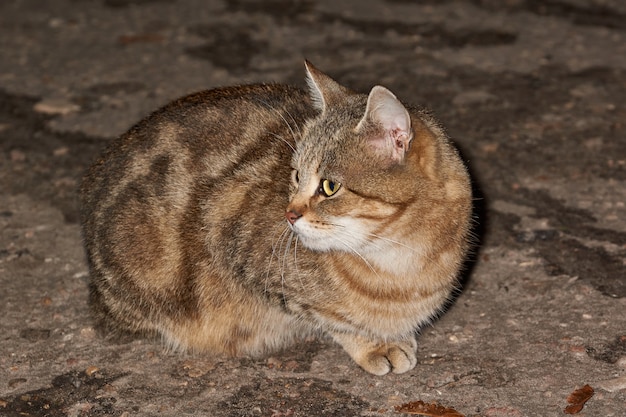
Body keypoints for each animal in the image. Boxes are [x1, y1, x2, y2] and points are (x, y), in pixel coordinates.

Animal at [79, 62, 468, 376]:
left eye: (329, 186)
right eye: (295, 175)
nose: (289, 214)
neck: (400, 261)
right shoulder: (229, 230)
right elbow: (330, 317)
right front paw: (373, 342)